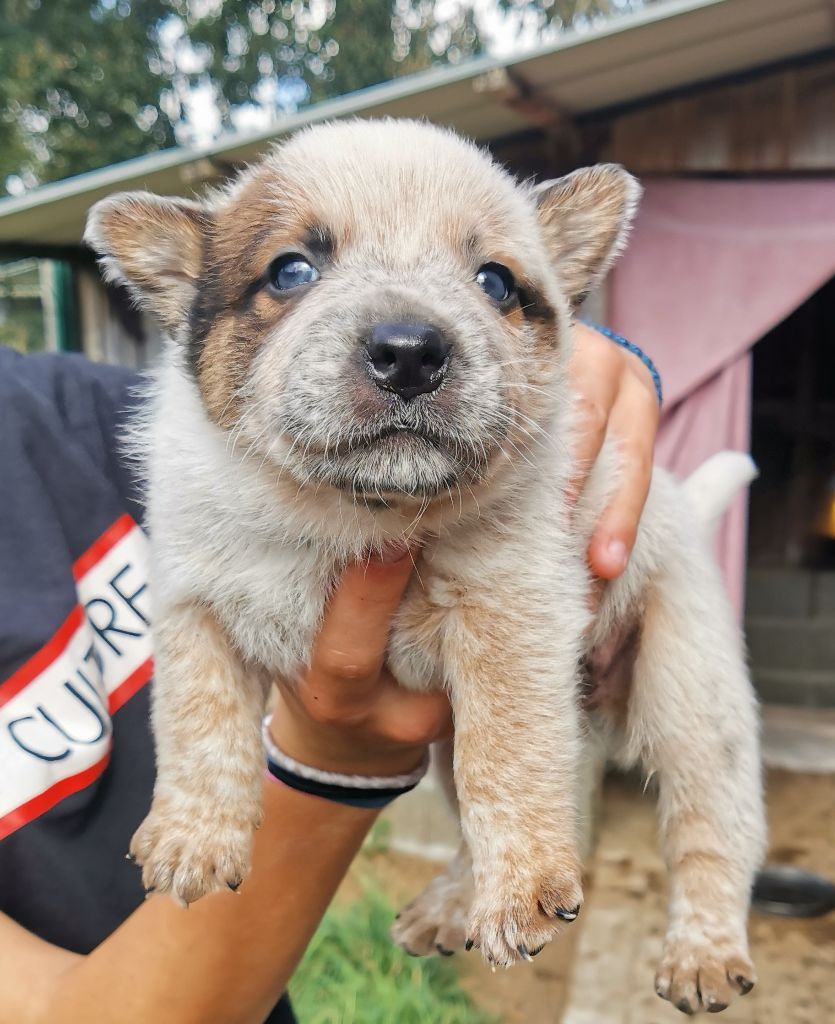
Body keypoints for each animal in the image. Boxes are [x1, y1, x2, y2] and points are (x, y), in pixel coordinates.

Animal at [85, 116, 762, 1011]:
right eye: (291, 269)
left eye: (495, 282)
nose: (409, 351)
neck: (340, 515)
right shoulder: (192, 599)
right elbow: (195, 720)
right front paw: (193, 836)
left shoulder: (509, 613)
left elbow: (504, 758)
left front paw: (522, 886)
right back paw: (449, 907)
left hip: (691, 700)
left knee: (711, 833)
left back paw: (702, 951)